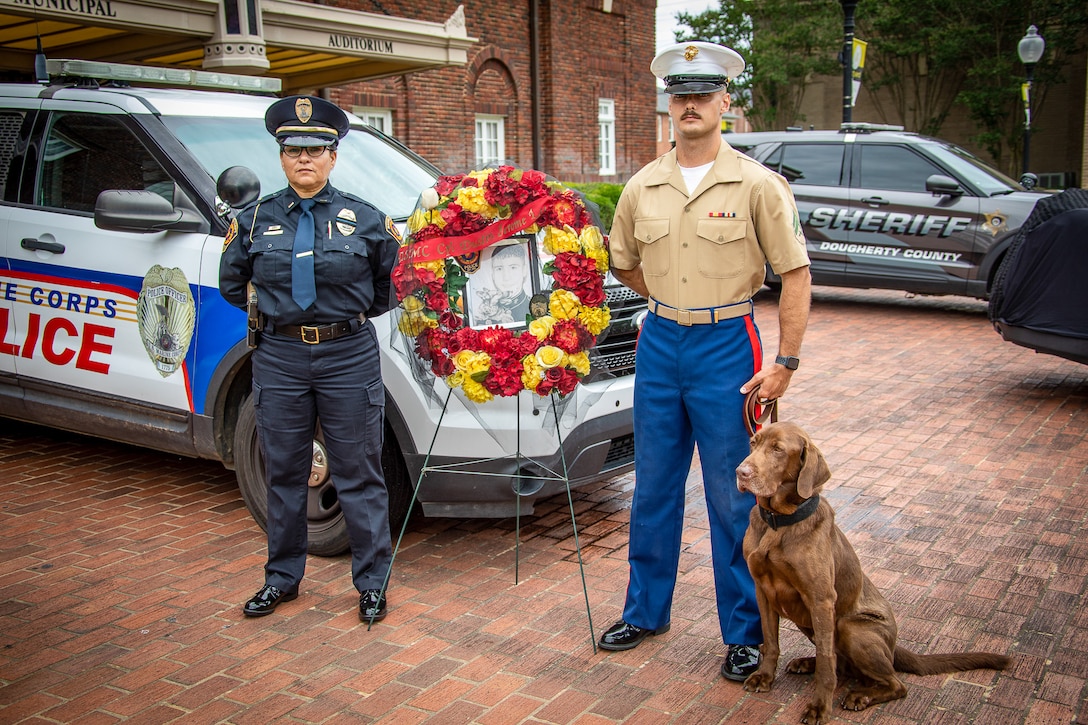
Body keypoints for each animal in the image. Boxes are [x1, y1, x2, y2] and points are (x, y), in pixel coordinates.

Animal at [735, 420, 1005, 718]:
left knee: (893, 683)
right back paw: (807, 663)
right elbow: (770, 641)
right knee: (842, 664)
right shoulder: (763, 590)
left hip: (850, 626)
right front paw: (764, 677)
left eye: (778, 450)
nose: (741, 472)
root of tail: (893, 647)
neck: (779, 523)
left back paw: (859, 696)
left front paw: (819, 707)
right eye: (753, 444)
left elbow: (827, 661)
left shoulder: (820, 598)